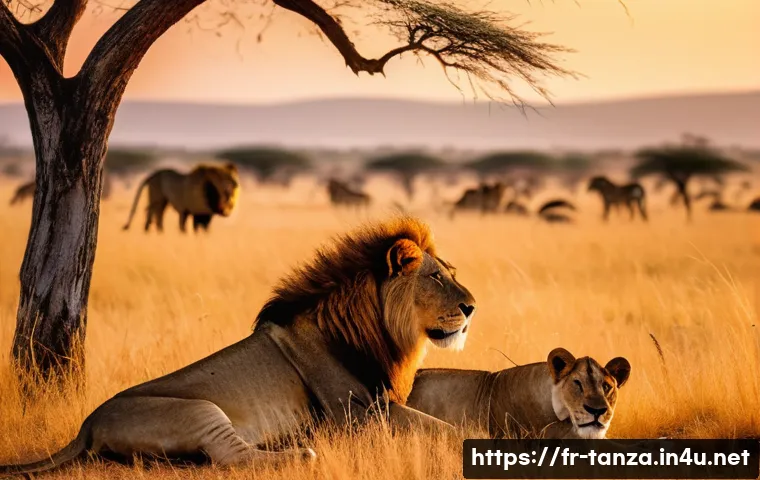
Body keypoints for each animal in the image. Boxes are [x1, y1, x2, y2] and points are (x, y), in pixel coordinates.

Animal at [0, 216, 477, 476]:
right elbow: (443, 428)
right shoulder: (356, 414)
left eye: (449, 273)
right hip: (202, 411)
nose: (472, 307)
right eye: (436, 277)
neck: (377, 331)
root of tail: (86, 424)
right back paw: (300, 452)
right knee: (233, 456)